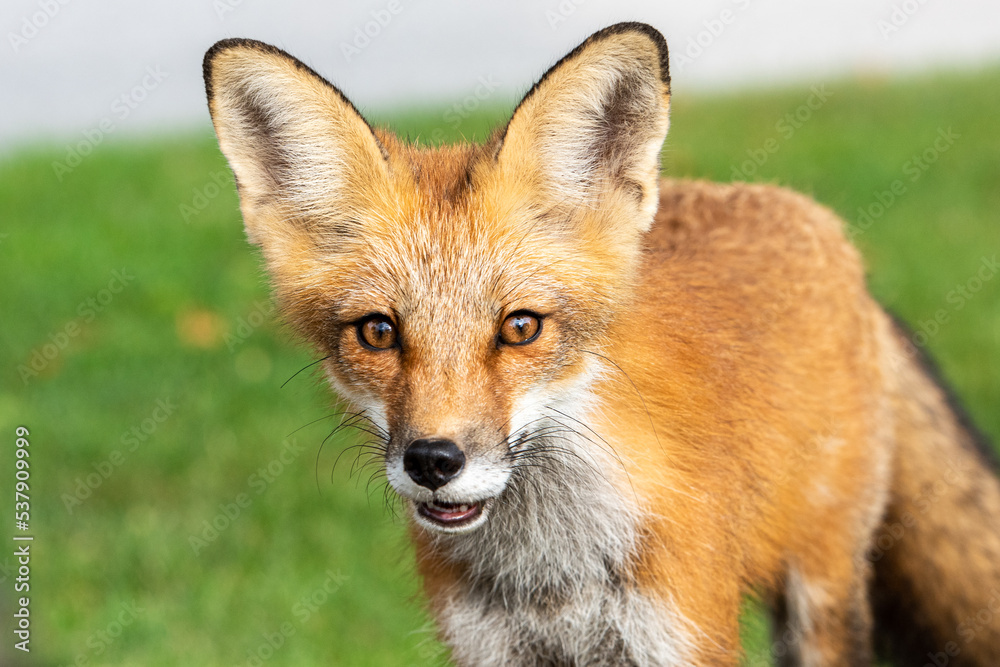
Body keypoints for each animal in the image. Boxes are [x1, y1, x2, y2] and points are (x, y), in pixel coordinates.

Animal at [203, 23, 1000, 666]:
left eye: (521, 327)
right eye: (378, 331)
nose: (433, 461)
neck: (555, 575)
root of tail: (827, 231)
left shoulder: (683, 632)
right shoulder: (492, 648)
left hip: (821, 591)